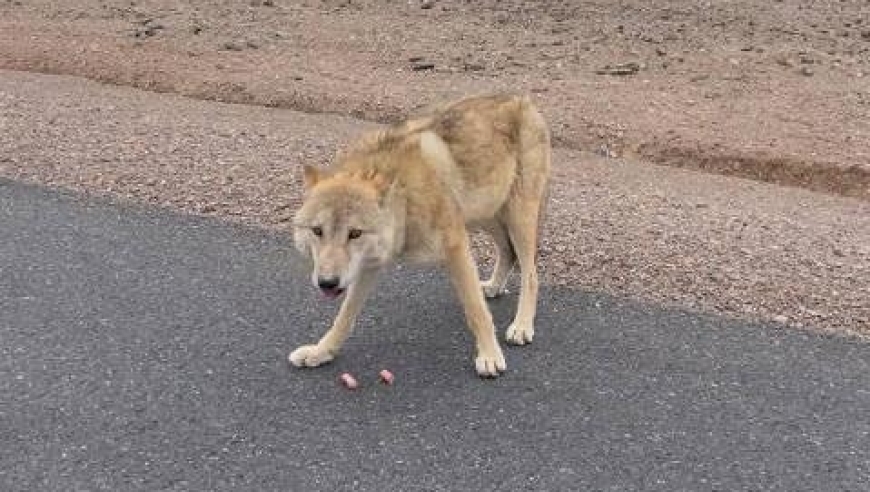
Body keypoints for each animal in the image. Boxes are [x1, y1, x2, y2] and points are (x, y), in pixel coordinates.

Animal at [292, 93, 552, 376]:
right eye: (318, 231)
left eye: (355, 233)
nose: (327, 283)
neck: (404, 199)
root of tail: (522, 99)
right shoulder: (371, 263)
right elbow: (345, 316)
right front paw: (321, 352)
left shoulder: (455, 244)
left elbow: (476, 310)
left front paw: (490, 355)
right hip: (484, 213)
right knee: (507, 252)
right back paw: (493, 286)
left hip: (518, 216)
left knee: (531, 274)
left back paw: (522, 325)